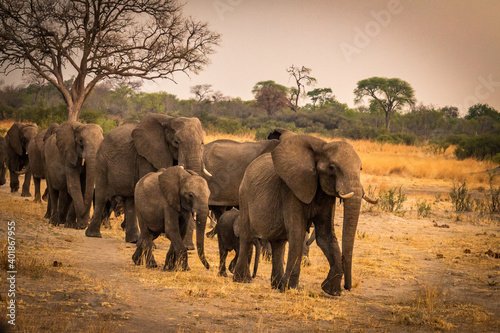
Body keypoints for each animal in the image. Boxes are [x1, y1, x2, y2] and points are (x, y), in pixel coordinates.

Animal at [86, 113, 211, 243]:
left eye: (202, 143)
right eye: (176, 142)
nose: (189, 246)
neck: (169, 120)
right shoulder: (145, 157)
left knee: (130, 200)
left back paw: (133, 240)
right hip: (102, 163)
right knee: (101, 197)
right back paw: (94, 235)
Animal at [232, 135, 374, 296]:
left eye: (361, 168)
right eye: (332, 168)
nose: (347, 287)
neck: (321, 148)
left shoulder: (326, 197)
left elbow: (325, 236)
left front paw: (331, 291)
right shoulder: (291, 191)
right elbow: (297, 233)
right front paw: (291, 288)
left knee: (278, 243)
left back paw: (277, 285)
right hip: (244, 195)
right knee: (247, 237)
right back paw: (243, 280)